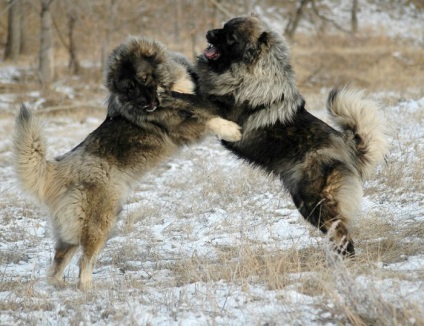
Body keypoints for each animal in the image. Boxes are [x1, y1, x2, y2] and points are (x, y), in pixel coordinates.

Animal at [13, 36, 240, 290]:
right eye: (128, 88)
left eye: (143, 79)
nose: (144, 102)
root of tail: (59, 168)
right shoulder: (180, 127)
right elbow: (207, 119)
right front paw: (231, 130)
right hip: (102, 219)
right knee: (85, 260)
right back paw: (88, 288)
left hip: (71, 230)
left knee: (57, 264)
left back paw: (61, 286)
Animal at [189, 16, 388, 256]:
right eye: (223, 26)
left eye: (230, 37)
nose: (208, 32)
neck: (250, 74)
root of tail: (347, 145)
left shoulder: (222, 110)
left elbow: (191, 94)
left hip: (314, 202)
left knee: (343, 235)